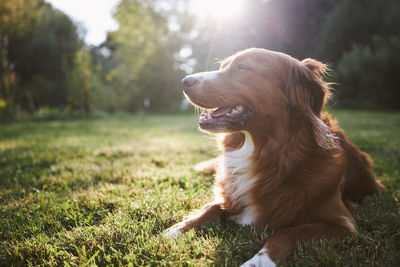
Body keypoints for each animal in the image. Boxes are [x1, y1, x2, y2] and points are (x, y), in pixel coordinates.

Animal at [165, 48, 384, 267]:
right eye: (223, 66)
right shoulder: (229, 194)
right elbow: (211, 207)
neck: (273, 155)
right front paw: (176, 229)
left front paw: (259, 261)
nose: (185, 81)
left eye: (243, 67)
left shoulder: (343, 223)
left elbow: (289, 232)